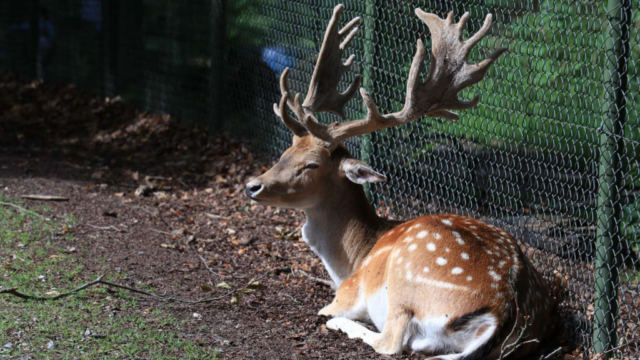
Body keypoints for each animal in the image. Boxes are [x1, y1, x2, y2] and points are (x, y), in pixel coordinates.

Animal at [248, 4, 556, 358]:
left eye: (311, 165)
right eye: (286, 151)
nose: (253, 185)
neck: (351, 259)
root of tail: (503, 309)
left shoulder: (350, 290)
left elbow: (333, 310)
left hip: (404, 283)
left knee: (392, 342)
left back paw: (344, 325)